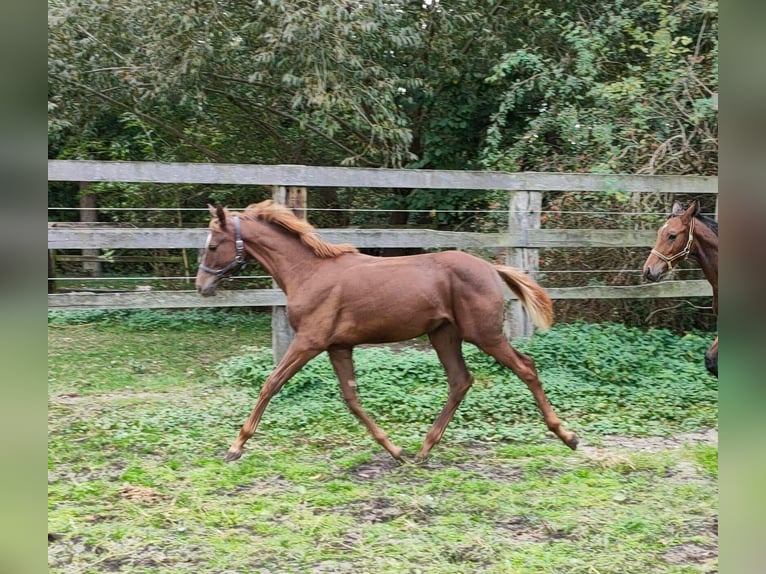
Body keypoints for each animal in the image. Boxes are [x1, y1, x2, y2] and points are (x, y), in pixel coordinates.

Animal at [195, 202, 580, 464]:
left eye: (213, 245)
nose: (202, 286)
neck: (309, 271)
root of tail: (490, 266)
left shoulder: (309, 341)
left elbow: (271, 383)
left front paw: (235, 447)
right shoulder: (338, 346)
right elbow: (351, 399)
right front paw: (394, 450)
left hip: (483, 333)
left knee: (525, 367)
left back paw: (568, 436)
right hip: (443, 335)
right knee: (460, 380)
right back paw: (423, 449)